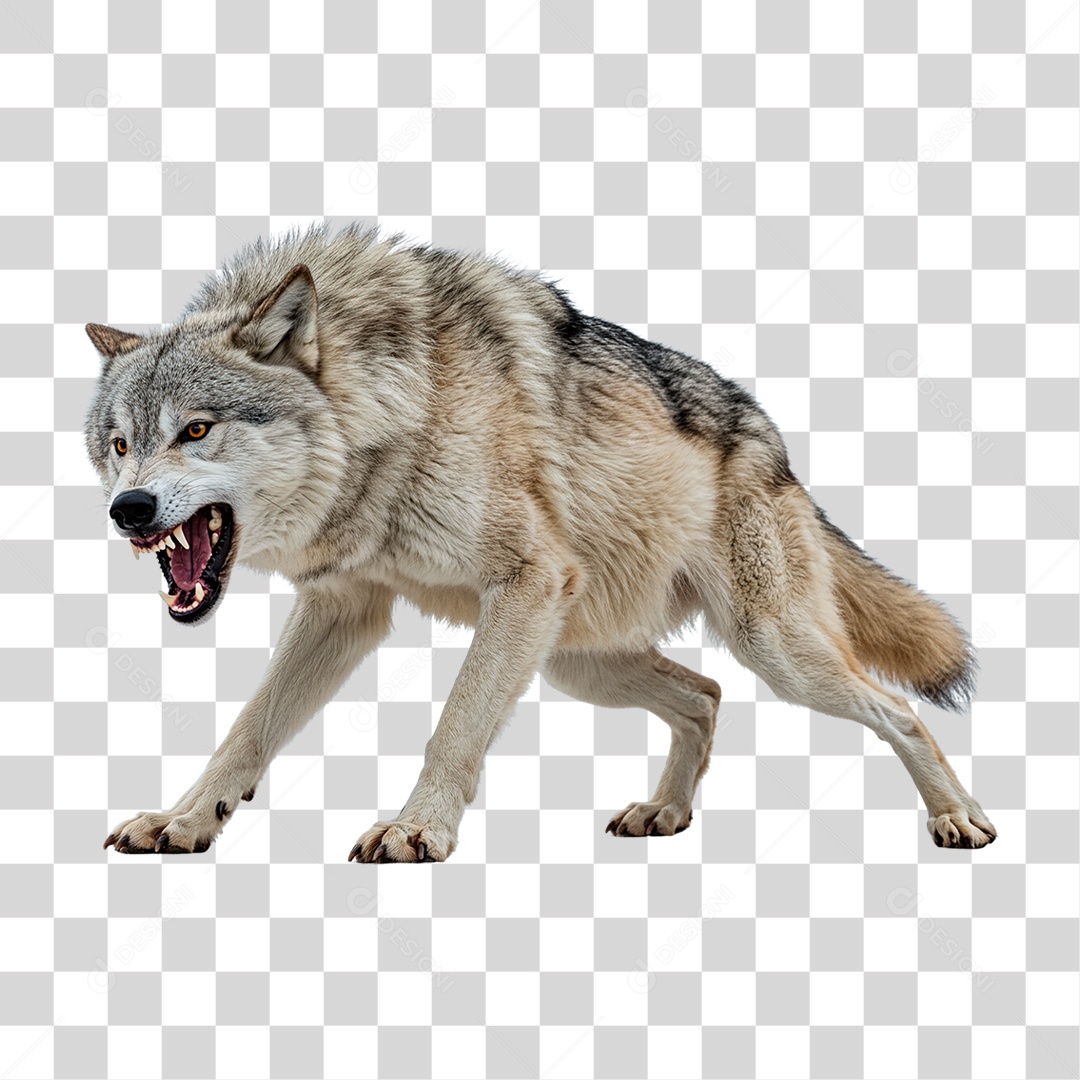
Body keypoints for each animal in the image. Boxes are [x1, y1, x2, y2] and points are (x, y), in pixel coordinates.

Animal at [84, 222, 996, 861]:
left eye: (197, 430)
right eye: (120, 444)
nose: (128, 510)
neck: (394, 414)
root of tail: (777, 447)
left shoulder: (525, 583)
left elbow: (454, 725)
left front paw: (418, 831)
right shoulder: (345, 608)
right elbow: (247, 730)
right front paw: (184, 819)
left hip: (767, 649)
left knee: (897, 711)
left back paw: (959, 818)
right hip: (576, 662)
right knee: (705, 695)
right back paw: (666, 812)